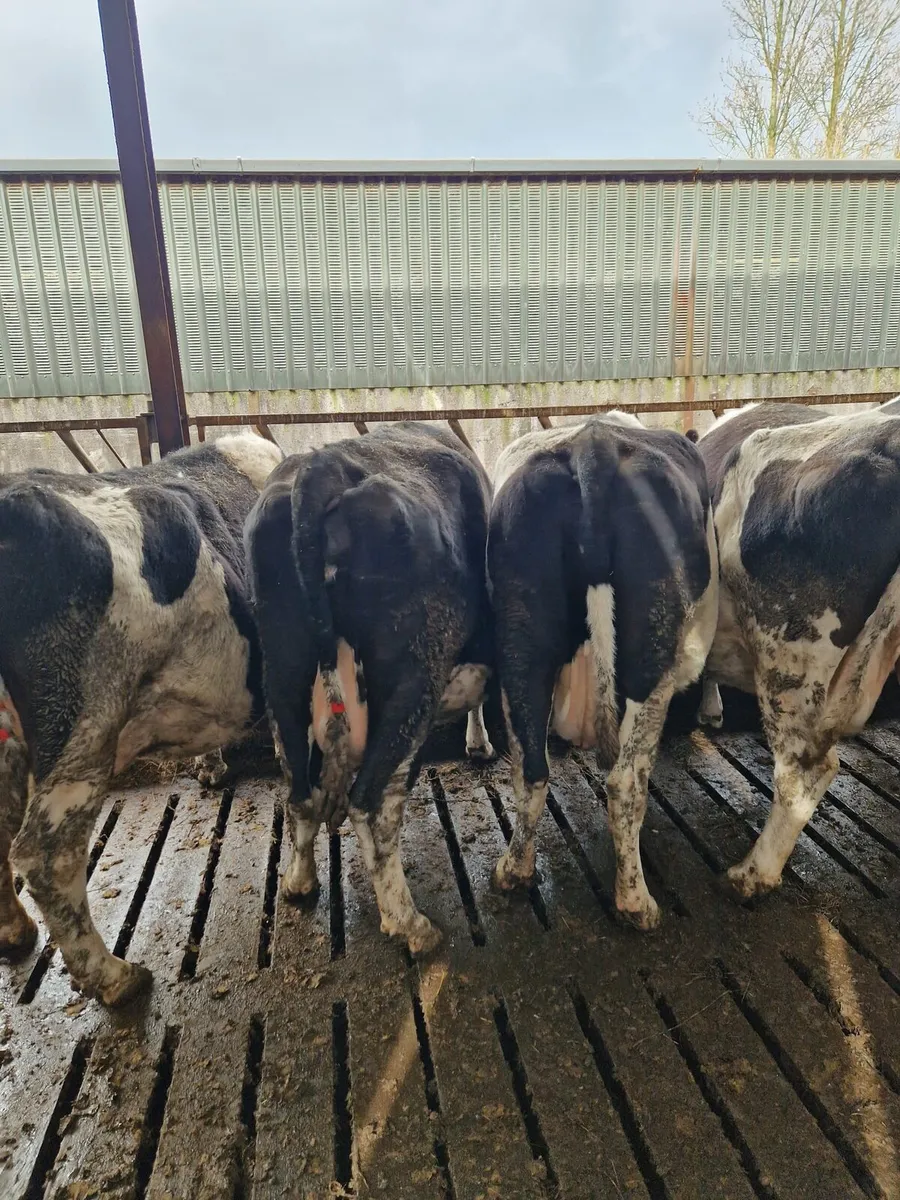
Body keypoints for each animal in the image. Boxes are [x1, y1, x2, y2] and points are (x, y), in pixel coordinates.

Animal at [245, 422, 494, 956]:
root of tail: (323, 466)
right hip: (411, 680)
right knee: (372, 804)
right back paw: (410, 923)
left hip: (283, 671)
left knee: (299, 792)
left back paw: (299, 882)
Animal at [487, 413, 718, 929]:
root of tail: (594, 447)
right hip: (651, 651)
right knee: (626, 782)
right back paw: (636, 901)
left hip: (522, 637)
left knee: (530, 768)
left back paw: (513, 871)